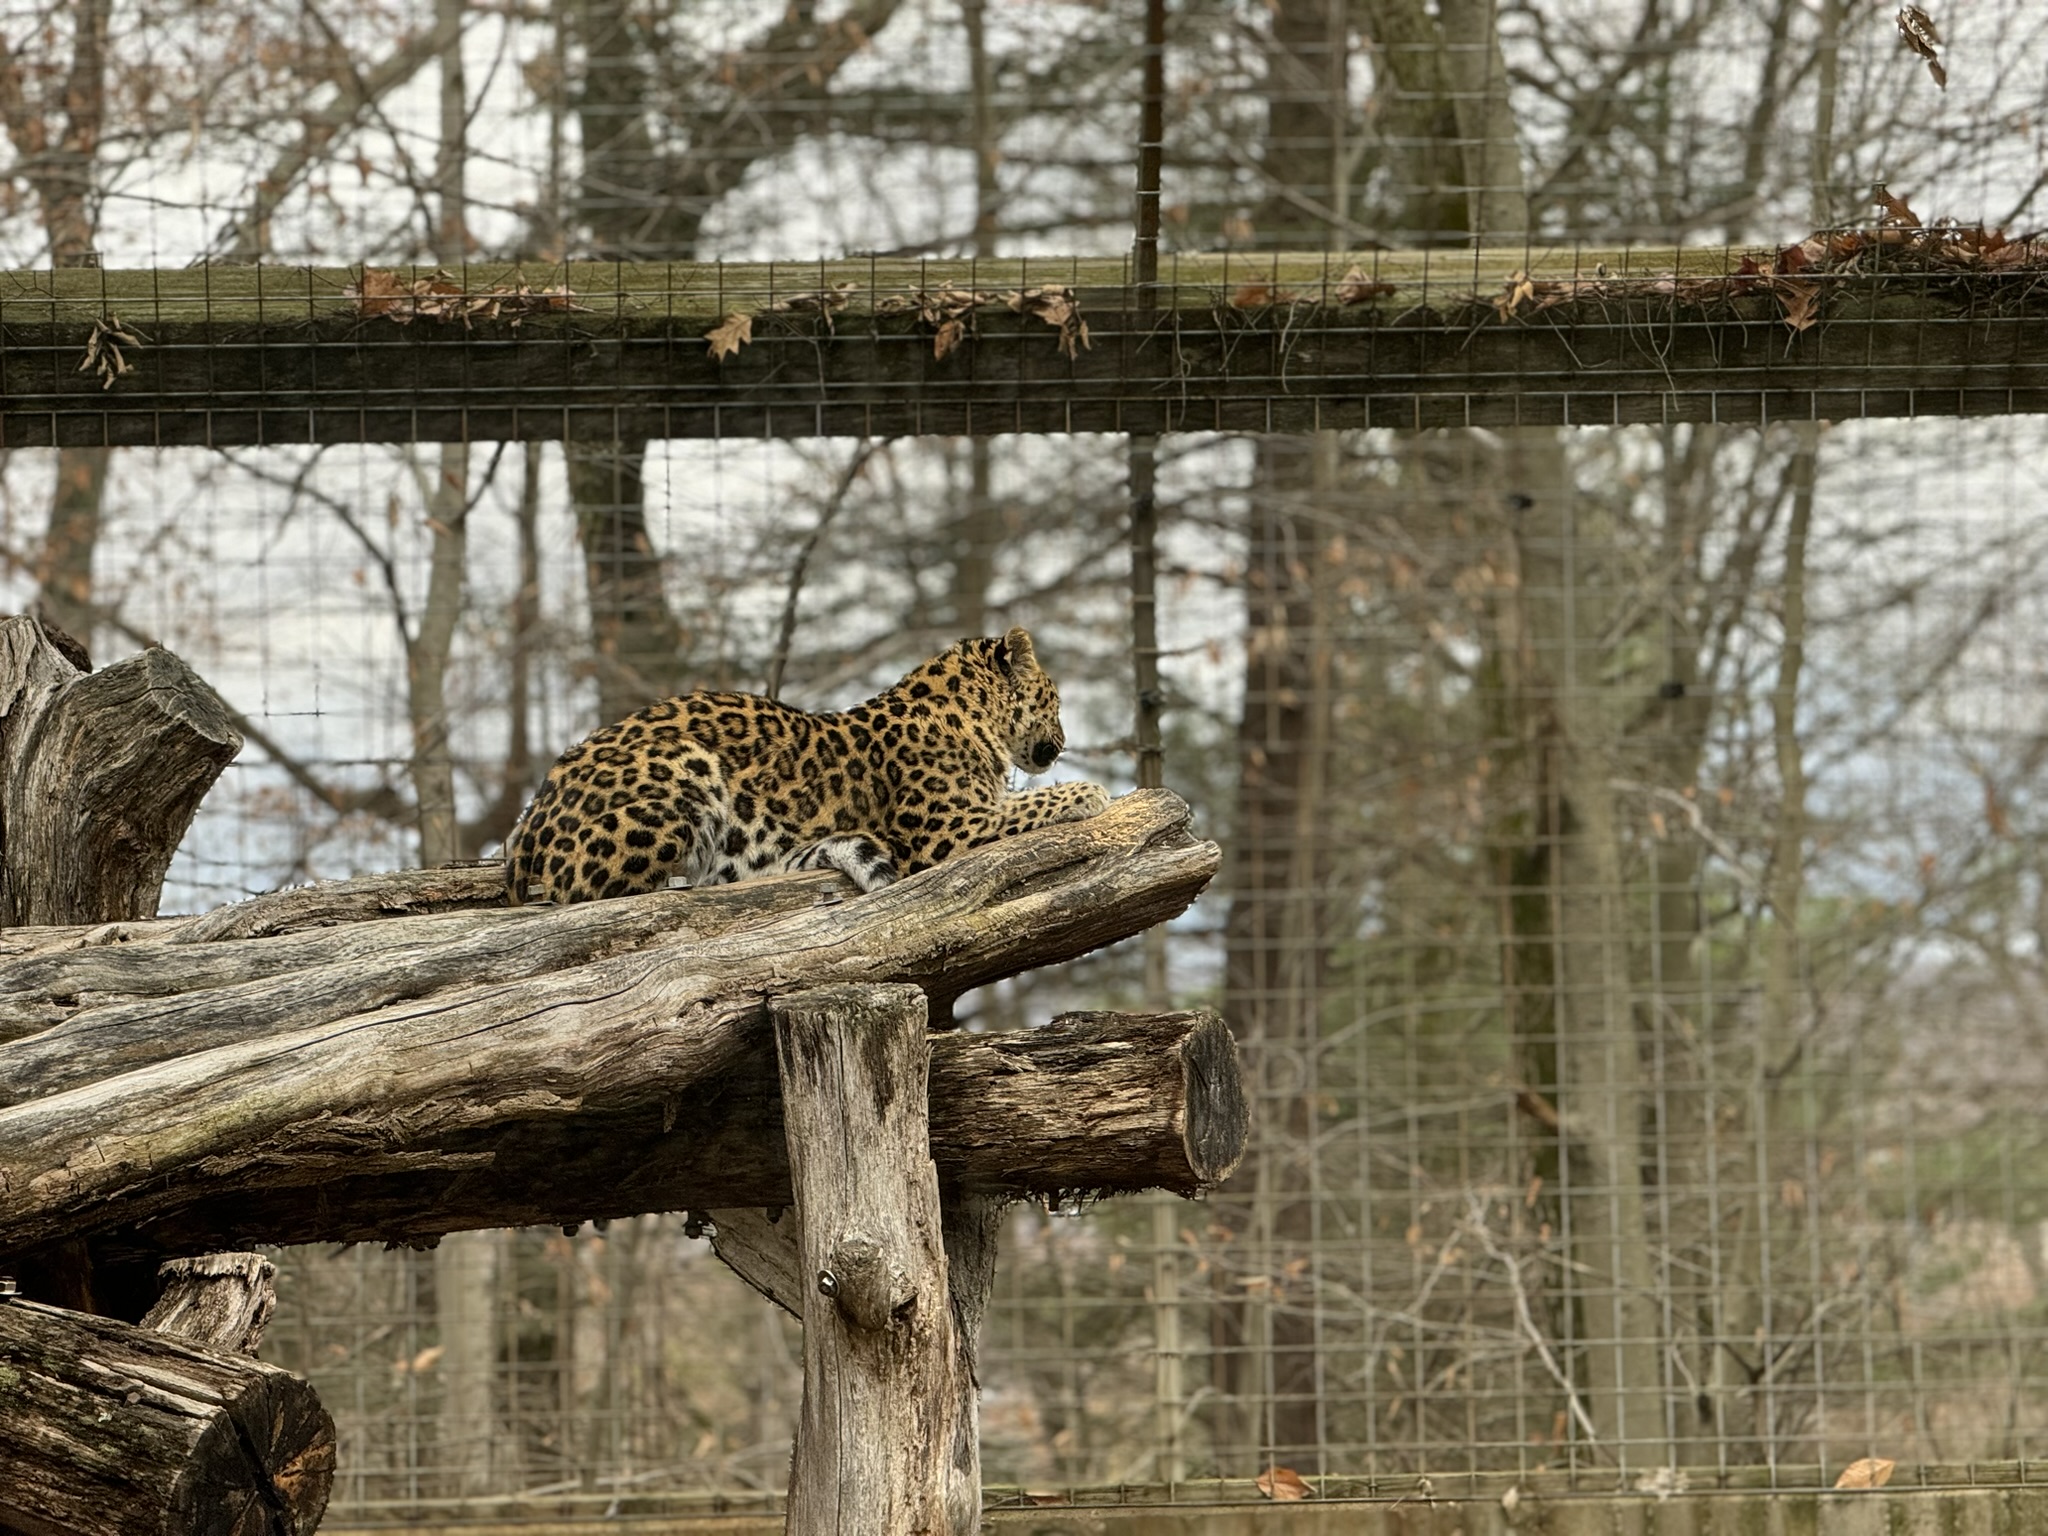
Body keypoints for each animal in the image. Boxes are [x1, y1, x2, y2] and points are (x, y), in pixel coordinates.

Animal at [505, 626, 1110, 904]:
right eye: (1056, 700)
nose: (1063, 741)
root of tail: (525, 830)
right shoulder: (948, 829)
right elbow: (1028, 802)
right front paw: (1089, 791)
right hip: (684, 765)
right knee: (591, 895)